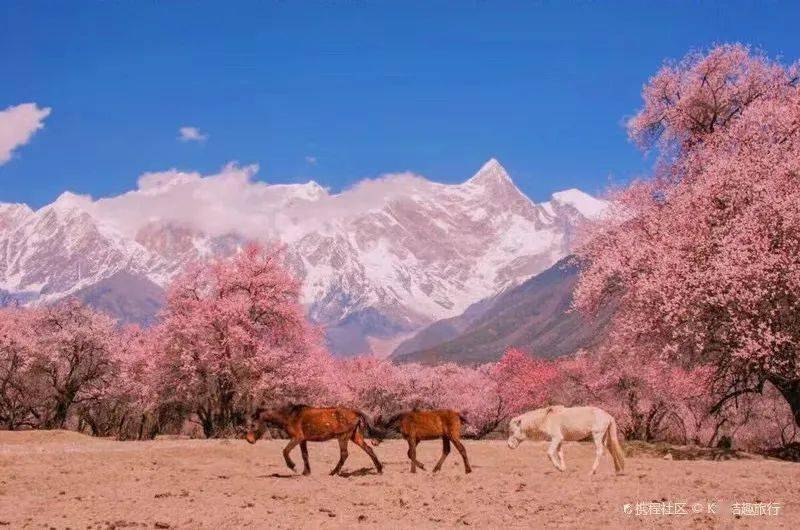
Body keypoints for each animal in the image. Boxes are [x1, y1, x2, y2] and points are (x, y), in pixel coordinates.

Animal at [245, 402, 382, 472]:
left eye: (253, 425)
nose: (249, 440)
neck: (289, 416)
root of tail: (355, 412)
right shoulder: (303, 440)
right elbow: (304, 455)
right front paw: (306, 472)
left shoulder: (297, 438)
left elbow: (285, 451)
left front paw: (292, 466)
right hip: (355, 437)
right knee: (369, 449)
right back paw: (379, 469)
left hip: (343, 437)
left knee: (344, 454)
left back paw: (333, 473)